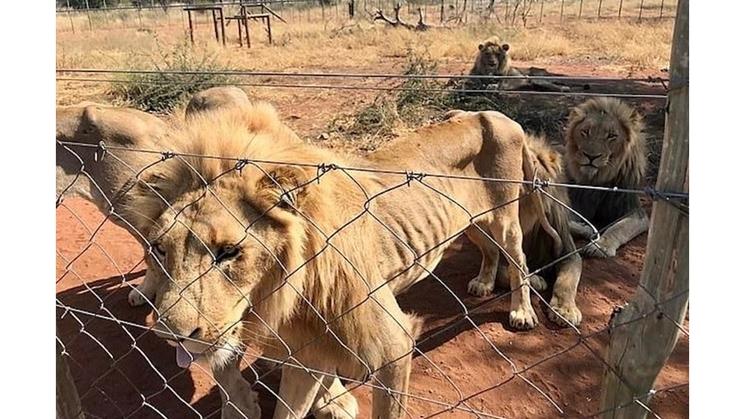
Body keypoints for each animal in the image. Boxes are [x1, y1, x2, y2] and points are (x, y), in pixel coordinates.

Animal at [124, 103, 552, 418]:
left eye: (228, 252)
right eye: (160, 249)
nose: (171, 334)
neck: (286, 290)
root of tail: (494, 114)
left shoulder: (392, 346)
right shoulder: (305, 350)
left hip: (505, 217)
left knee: (518, 259)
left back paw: (522, 312)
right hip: (474, 222)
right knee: (488, 249)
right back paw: (483, 281)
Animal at [564, 97, 649, 258]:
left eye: (611, 136)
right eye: (585, 132)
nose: (591, 156)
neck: (597, 179)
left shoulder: (635, 212)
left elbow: (619, 227)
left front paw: (600, 246)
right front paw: (585, 229)